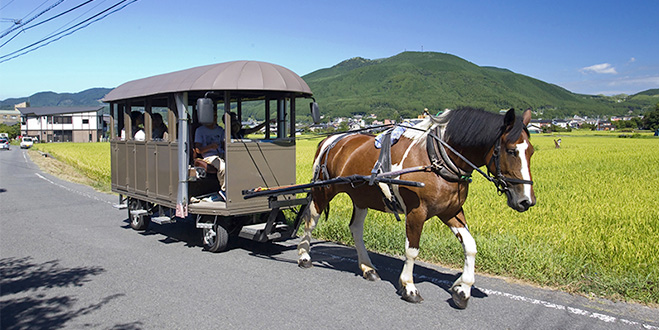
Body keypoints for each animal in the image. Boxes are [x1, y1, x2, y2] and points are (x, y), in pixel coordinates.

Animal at [298, 107, 536, 310]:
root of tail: (330, 139)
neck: (437, 158)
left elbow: (470, 246)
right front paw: (409, 287)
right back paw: (304, 256)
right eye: (511, 151)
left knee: (355, 228)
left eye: (531, 151)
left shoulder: (451, 211)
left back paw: (367, 267)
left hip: (361, 195)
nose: (527, 201)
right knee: (310, 220)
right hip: (323, 189)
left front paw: (463, 288)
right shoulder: (416, 212)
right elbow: (411, 250)